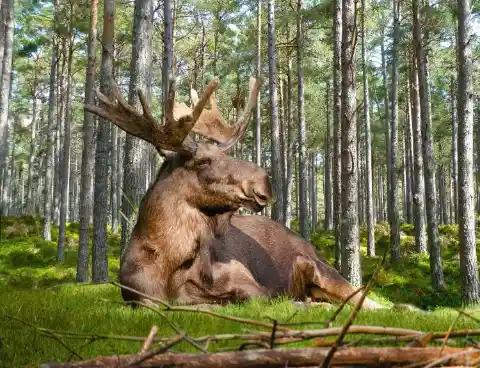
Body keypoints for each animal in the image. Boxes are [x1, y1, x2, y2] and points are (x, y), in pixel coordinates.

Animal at [86, 75, 384, 310]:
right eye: (202, 161)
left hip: (322, 269)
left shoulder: (250, 284)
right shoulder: (139, 297)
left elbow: (242, 299)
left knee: (365, 299)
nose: (264, 182)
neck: (168, 263)